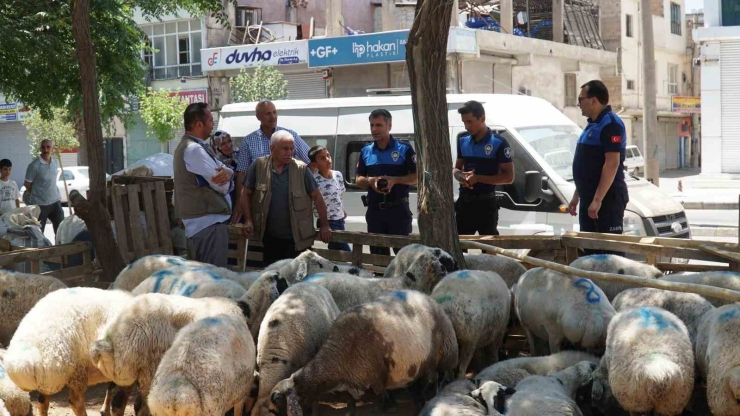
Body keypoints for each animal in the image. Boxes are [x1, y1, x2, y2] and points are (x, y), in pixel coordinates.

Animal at [268, 290, 460, 414]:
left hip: (442, 356)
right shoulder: (352, 379)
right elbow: (351, 403)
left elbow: (378, 405)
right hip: (419, 366)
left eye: (278, 404)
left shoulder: (377, 380)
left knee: (440, 379)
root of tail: (427, 297)